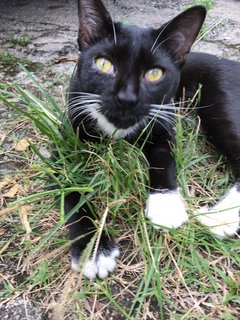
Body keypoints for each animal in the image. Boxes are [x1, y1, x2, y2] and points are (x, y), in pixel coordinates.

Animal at [64, 0, 240, 278]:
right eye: (103, 64)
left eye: (155, 73)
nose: (126, 98)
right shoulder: (65, 139)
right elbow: (70, 186)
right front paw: (93, 249)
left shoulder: (163, 120)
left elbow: (162, 156)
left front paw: (165, 205)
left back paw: (220, 217)